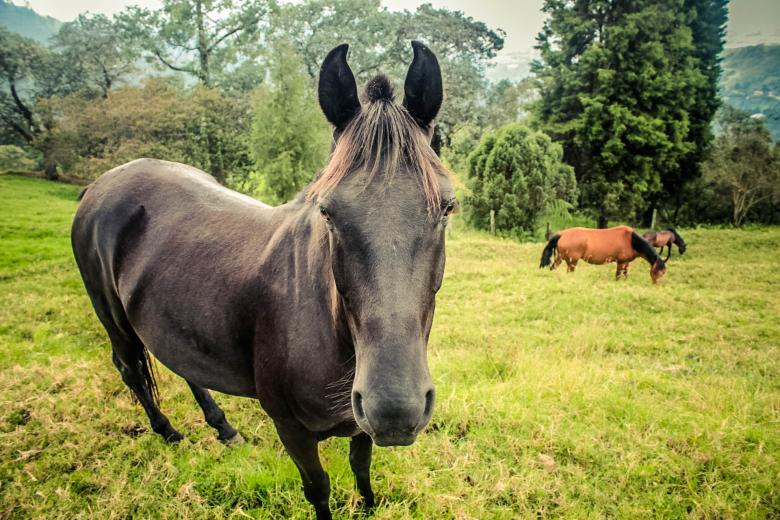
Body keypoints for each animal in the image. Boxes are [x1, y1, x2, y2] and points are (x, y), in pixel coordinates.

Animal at [71, 41, 455, 520]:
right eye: (327, 212)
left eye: (447, 208)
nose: (395, 410)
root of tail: (99, 184)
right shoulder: (291, 429)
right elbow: (319, 488)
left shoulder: (359, 421)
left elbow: (361, 467)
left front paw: (366, 505)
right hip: (114, 321)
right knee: (130, 370)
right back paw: (169, 432)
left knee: (183, 367)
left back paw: (223, 429)